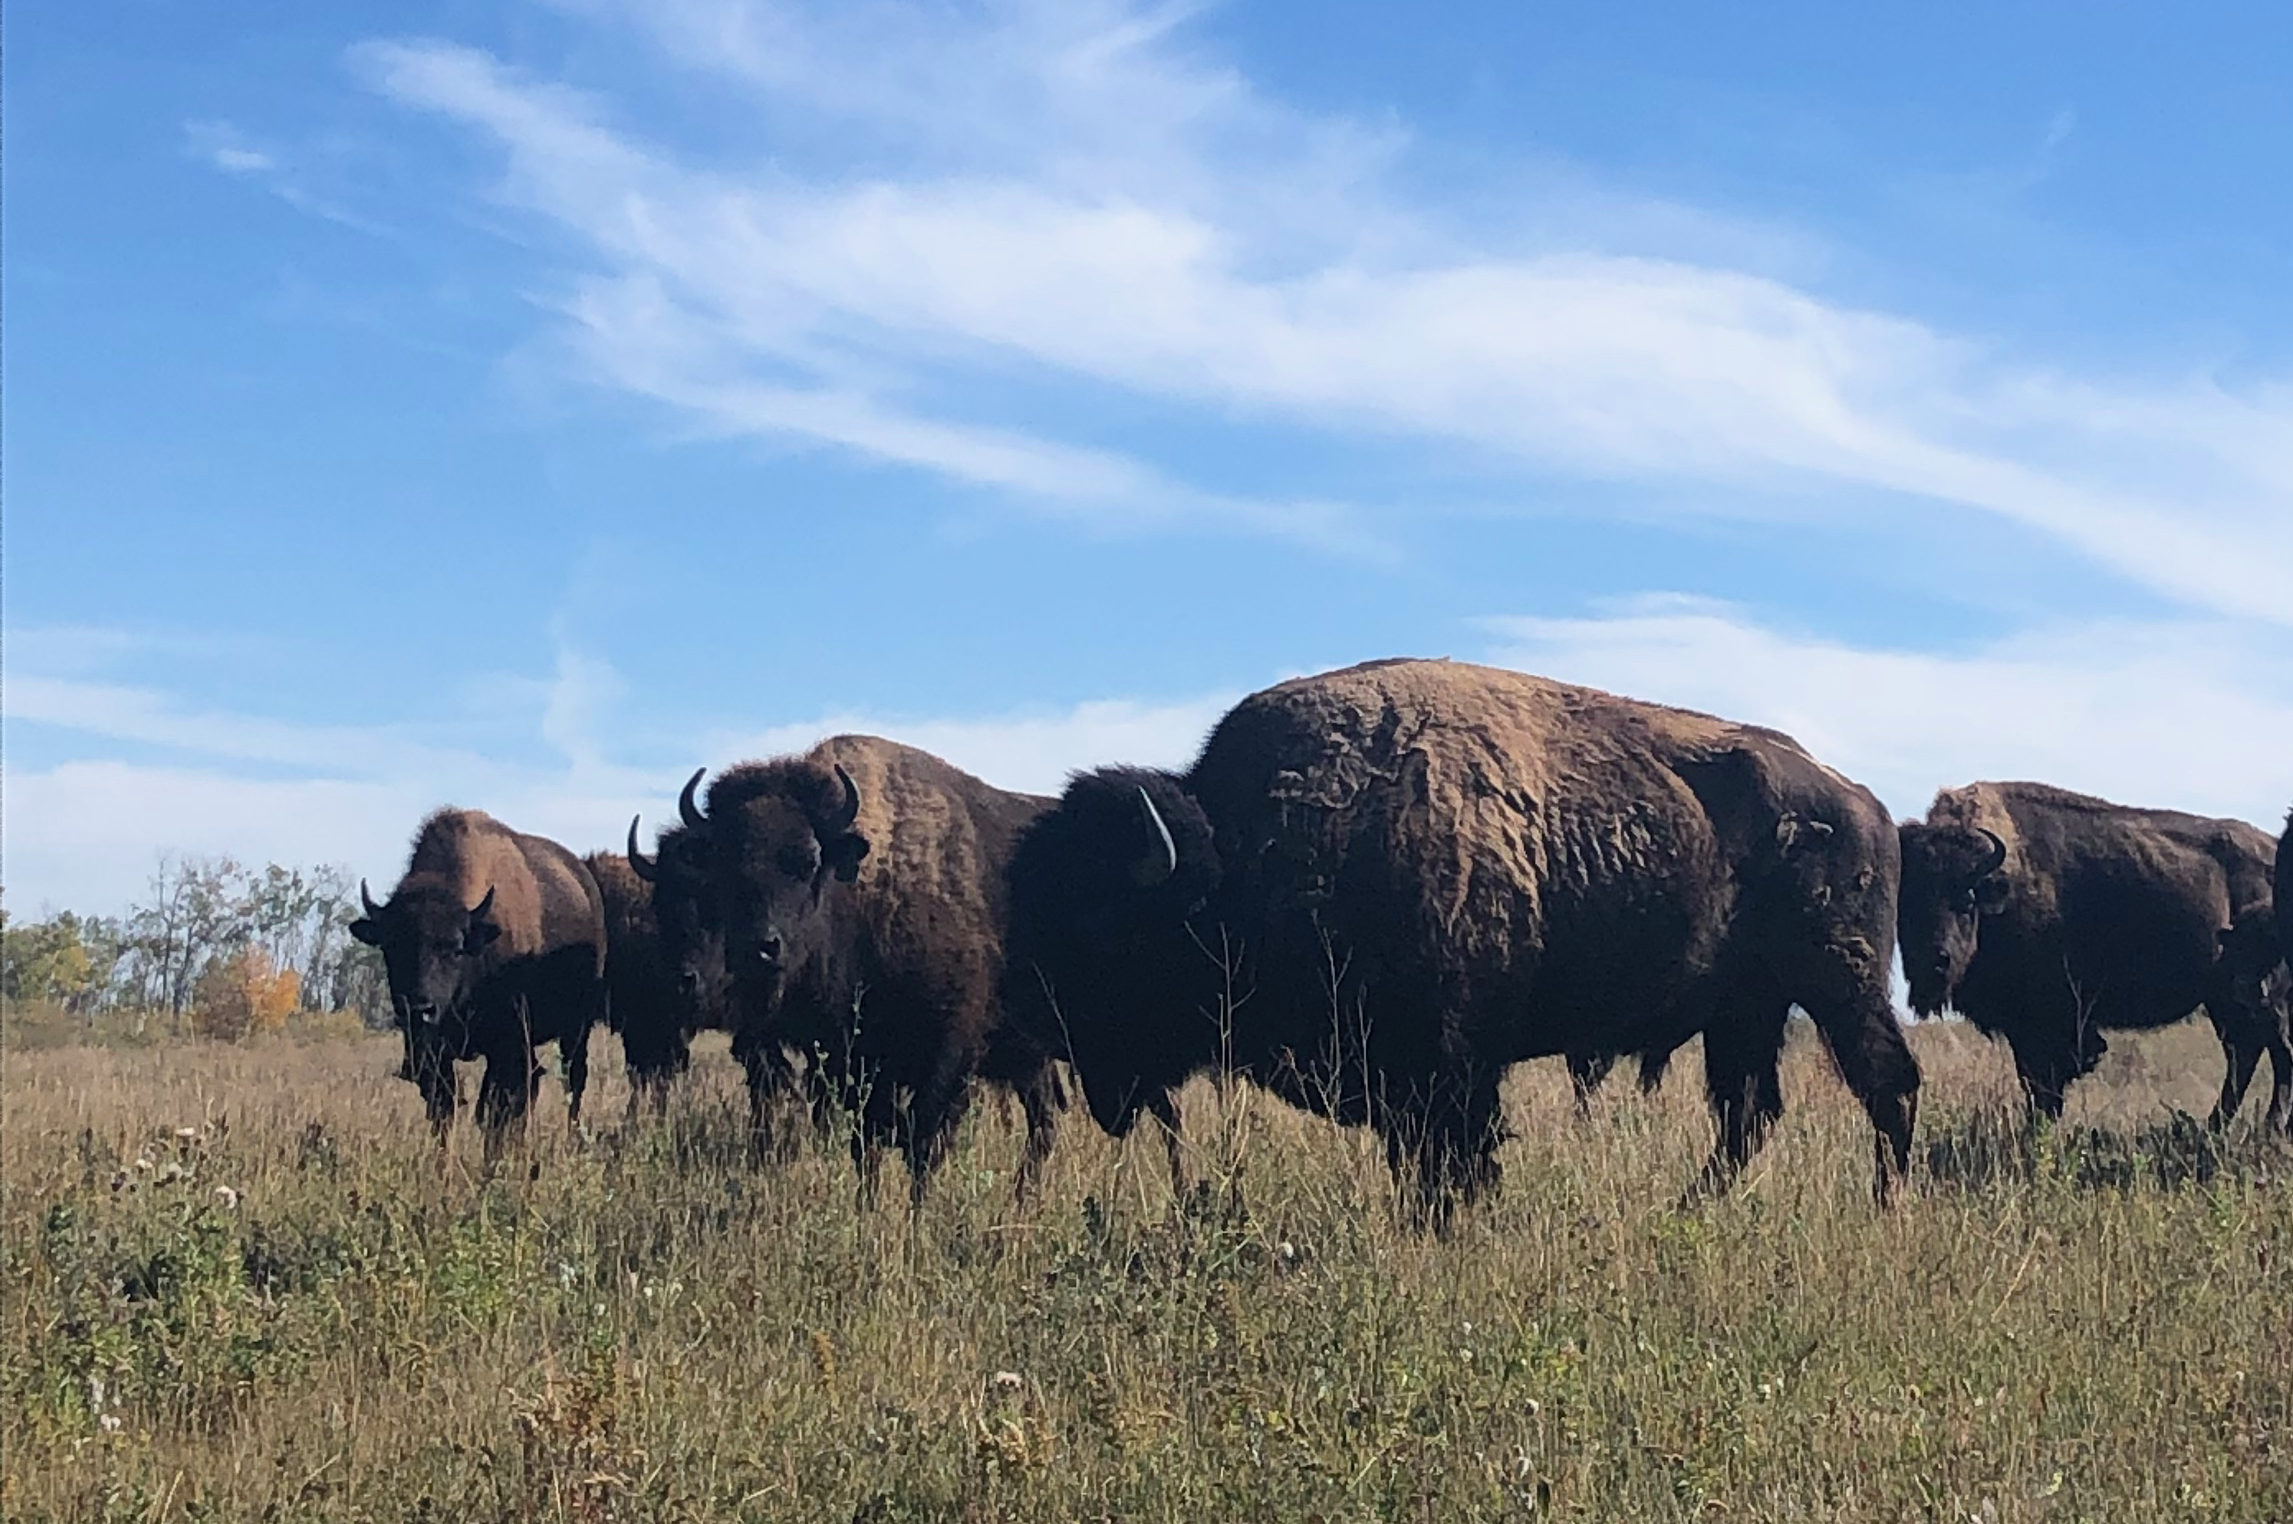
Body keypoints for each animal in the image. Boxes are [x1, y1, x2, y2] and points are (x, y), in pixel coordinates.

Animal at [343, 806, 605, 1141]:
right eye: (391, 947)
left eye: (455, 948)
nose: (419, 1009)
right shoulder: (434, 1055)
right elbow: (444, 1110)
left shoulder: (506, 1047)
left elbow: (494, 1113)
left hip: (577, 1028)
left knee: (572, 1080)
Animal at [683, 733, 1068, 1191]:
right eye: (724, 872)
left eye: (809, 861)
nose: (757, 947)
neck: (866, 893)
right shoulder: (849, 1061)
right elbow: (867, 1144)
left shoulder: (950, 1051)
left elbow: (922, 1141)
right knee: (1043, 1124)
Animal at [1004, 660, 1916, 1219]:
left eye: (1107, 931)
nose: (1094, 1079)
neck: (1245, 853)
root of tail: (1858, 799)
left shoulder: (1447, 1068)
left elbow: (1453, 1164)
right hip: (1745, 1011)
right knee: (1746, 1114)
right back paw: (1682, 1211)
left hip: (1838, 985)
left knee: (1886, 1085)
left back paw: (1885, 1206)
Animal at [1889, 783, 2283, 1127]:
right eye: (1905, 906)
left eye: (1966, 901)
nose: (1936, 961)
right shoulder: (2024, 1029)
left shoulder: (2046, 1024)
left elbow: (2044, 1086)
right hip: (2225, 999)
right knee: (2246, 1052)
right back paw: (2220, 1126)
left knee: (2266, 1051)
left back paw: (2263, 1125)